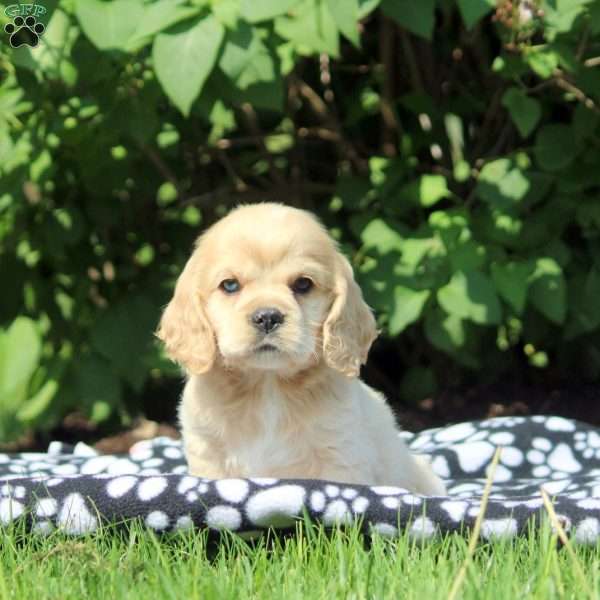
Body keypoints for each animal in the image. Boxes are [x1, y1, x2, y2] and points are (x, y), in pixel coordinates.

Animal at [157, 204, 448, 494]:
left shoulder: (340, 457)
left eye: (303, 284)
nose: (267, 317)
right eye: (229, 285)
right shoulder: (209, 455)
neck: (267, 386)